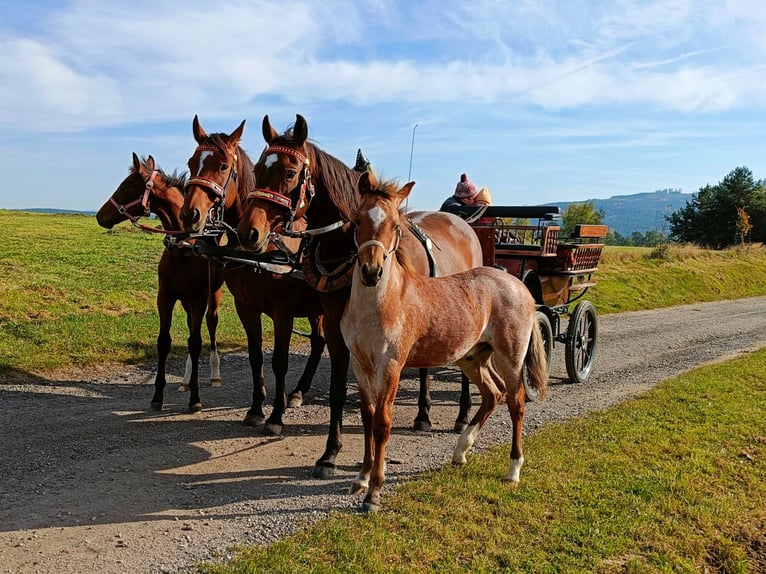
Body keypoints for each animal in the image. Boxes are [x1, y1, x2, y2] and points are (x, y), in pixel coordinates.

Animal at [94, 154, 224, 414]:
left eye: (125, 186)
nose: (100, 216)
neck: (183, 247)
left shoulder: (199, 299)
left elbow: (196, 342)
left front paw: (195, 398)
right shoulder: (166, 297)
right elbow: (164, 342)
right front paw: (157, 396)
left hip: (213, 297)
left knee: (211, 326)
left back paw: (214, 375)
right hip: (185, 302)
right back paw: (185, 380)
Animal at [181, 115, 328, 434]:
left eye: (223, 166)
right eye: (191, 162)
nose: (189, 215)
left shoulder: (284, 311)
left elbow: (280, 361)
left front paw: (275, 417)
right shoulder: (246, 307)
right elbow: (256, 356)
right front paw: (257, 409)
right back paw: (298, 391)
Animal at [237, 113, 484, 482]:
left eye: (290, 172)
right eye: (257, 169)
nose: (248, 232)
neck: (348, 250)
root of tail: (462, 223)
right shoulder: (337, 326)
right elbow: (340, 390)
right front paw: (330, 453)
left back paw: (462, 414)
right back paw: (423, 414)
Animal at [344, 173, 552, 516]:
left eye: (396, 225)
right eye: (357, 220)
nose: (371, 272)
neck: (381, 303)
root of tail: (520, 286)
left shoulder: (391, 366)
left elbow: (382, 423)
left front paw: (373, 492)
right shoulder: (360, 365)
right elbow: (366, 418)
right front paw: (360, 478)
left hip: (510, 357)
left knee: (516, 402)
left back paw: (513, 470)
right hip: (472, 358)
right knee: (492, 394)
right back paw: (460, 452)